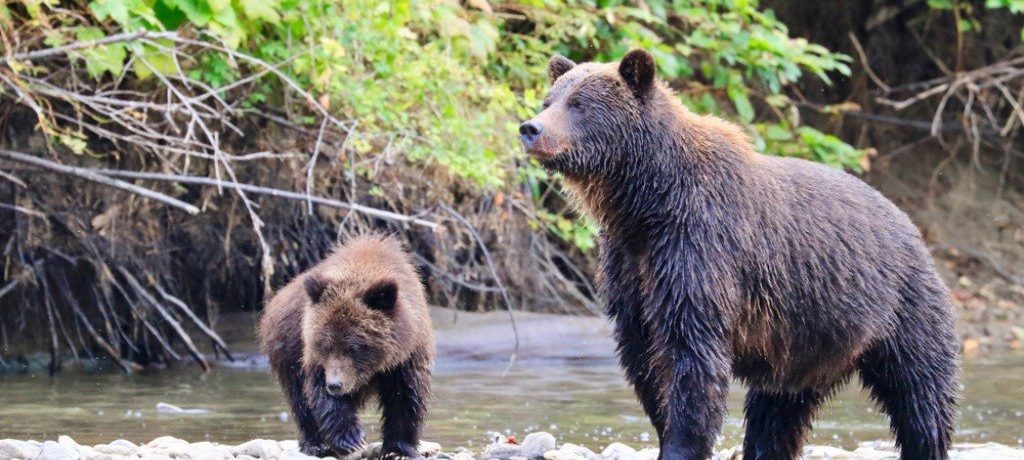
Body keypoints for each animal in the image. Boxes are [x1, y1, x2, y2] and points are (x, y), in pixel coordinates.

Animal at [260, 234, 432, 456]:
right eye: (324, 345)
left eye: (354, 347)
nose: (335, 384)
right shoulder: (314, 357)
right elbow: (320, 393)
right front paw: (352, 439)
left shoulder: (407, 354)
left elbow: (406, 396)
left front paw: (398, 450)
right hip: (286, 349)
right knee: (300, 400)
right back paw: (316, 444)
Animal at [520, 50, 958, 458]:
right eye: (549, 99)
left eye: (580, 104)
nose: (530, 128)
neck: (644, 199)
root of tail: (910, 224)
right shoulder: (631, 263)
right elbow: (644, 356)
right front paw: (663, 430)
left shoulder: (698, 246)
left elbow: (690, 353)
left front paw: (681, 445)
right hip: (804, 341)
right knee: (778, 409)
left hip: (901, 307)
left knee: (920, 393)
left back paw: (926, 440)